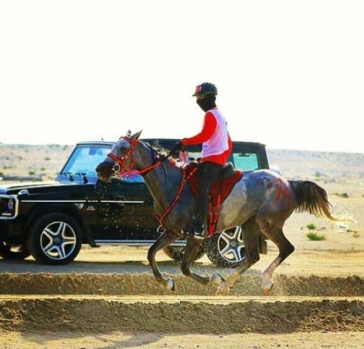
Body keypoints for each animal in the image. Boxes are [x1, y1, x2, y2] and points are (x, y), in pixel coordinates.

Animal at [95, 130, 342, 294]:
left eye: (123, 148)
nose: (101, 169)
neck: (172, 185)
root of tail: (288, 183)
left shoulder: (195, 237)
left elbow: (185, 267)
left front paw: (211, 279)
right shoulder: (173, 232)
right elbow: (151, 253)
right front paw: (167, 282)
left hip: (268, 223)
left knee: (285, 248)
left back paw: (262, 281)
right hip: (250, 225)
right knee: (253, 255)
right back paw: (226, 284)